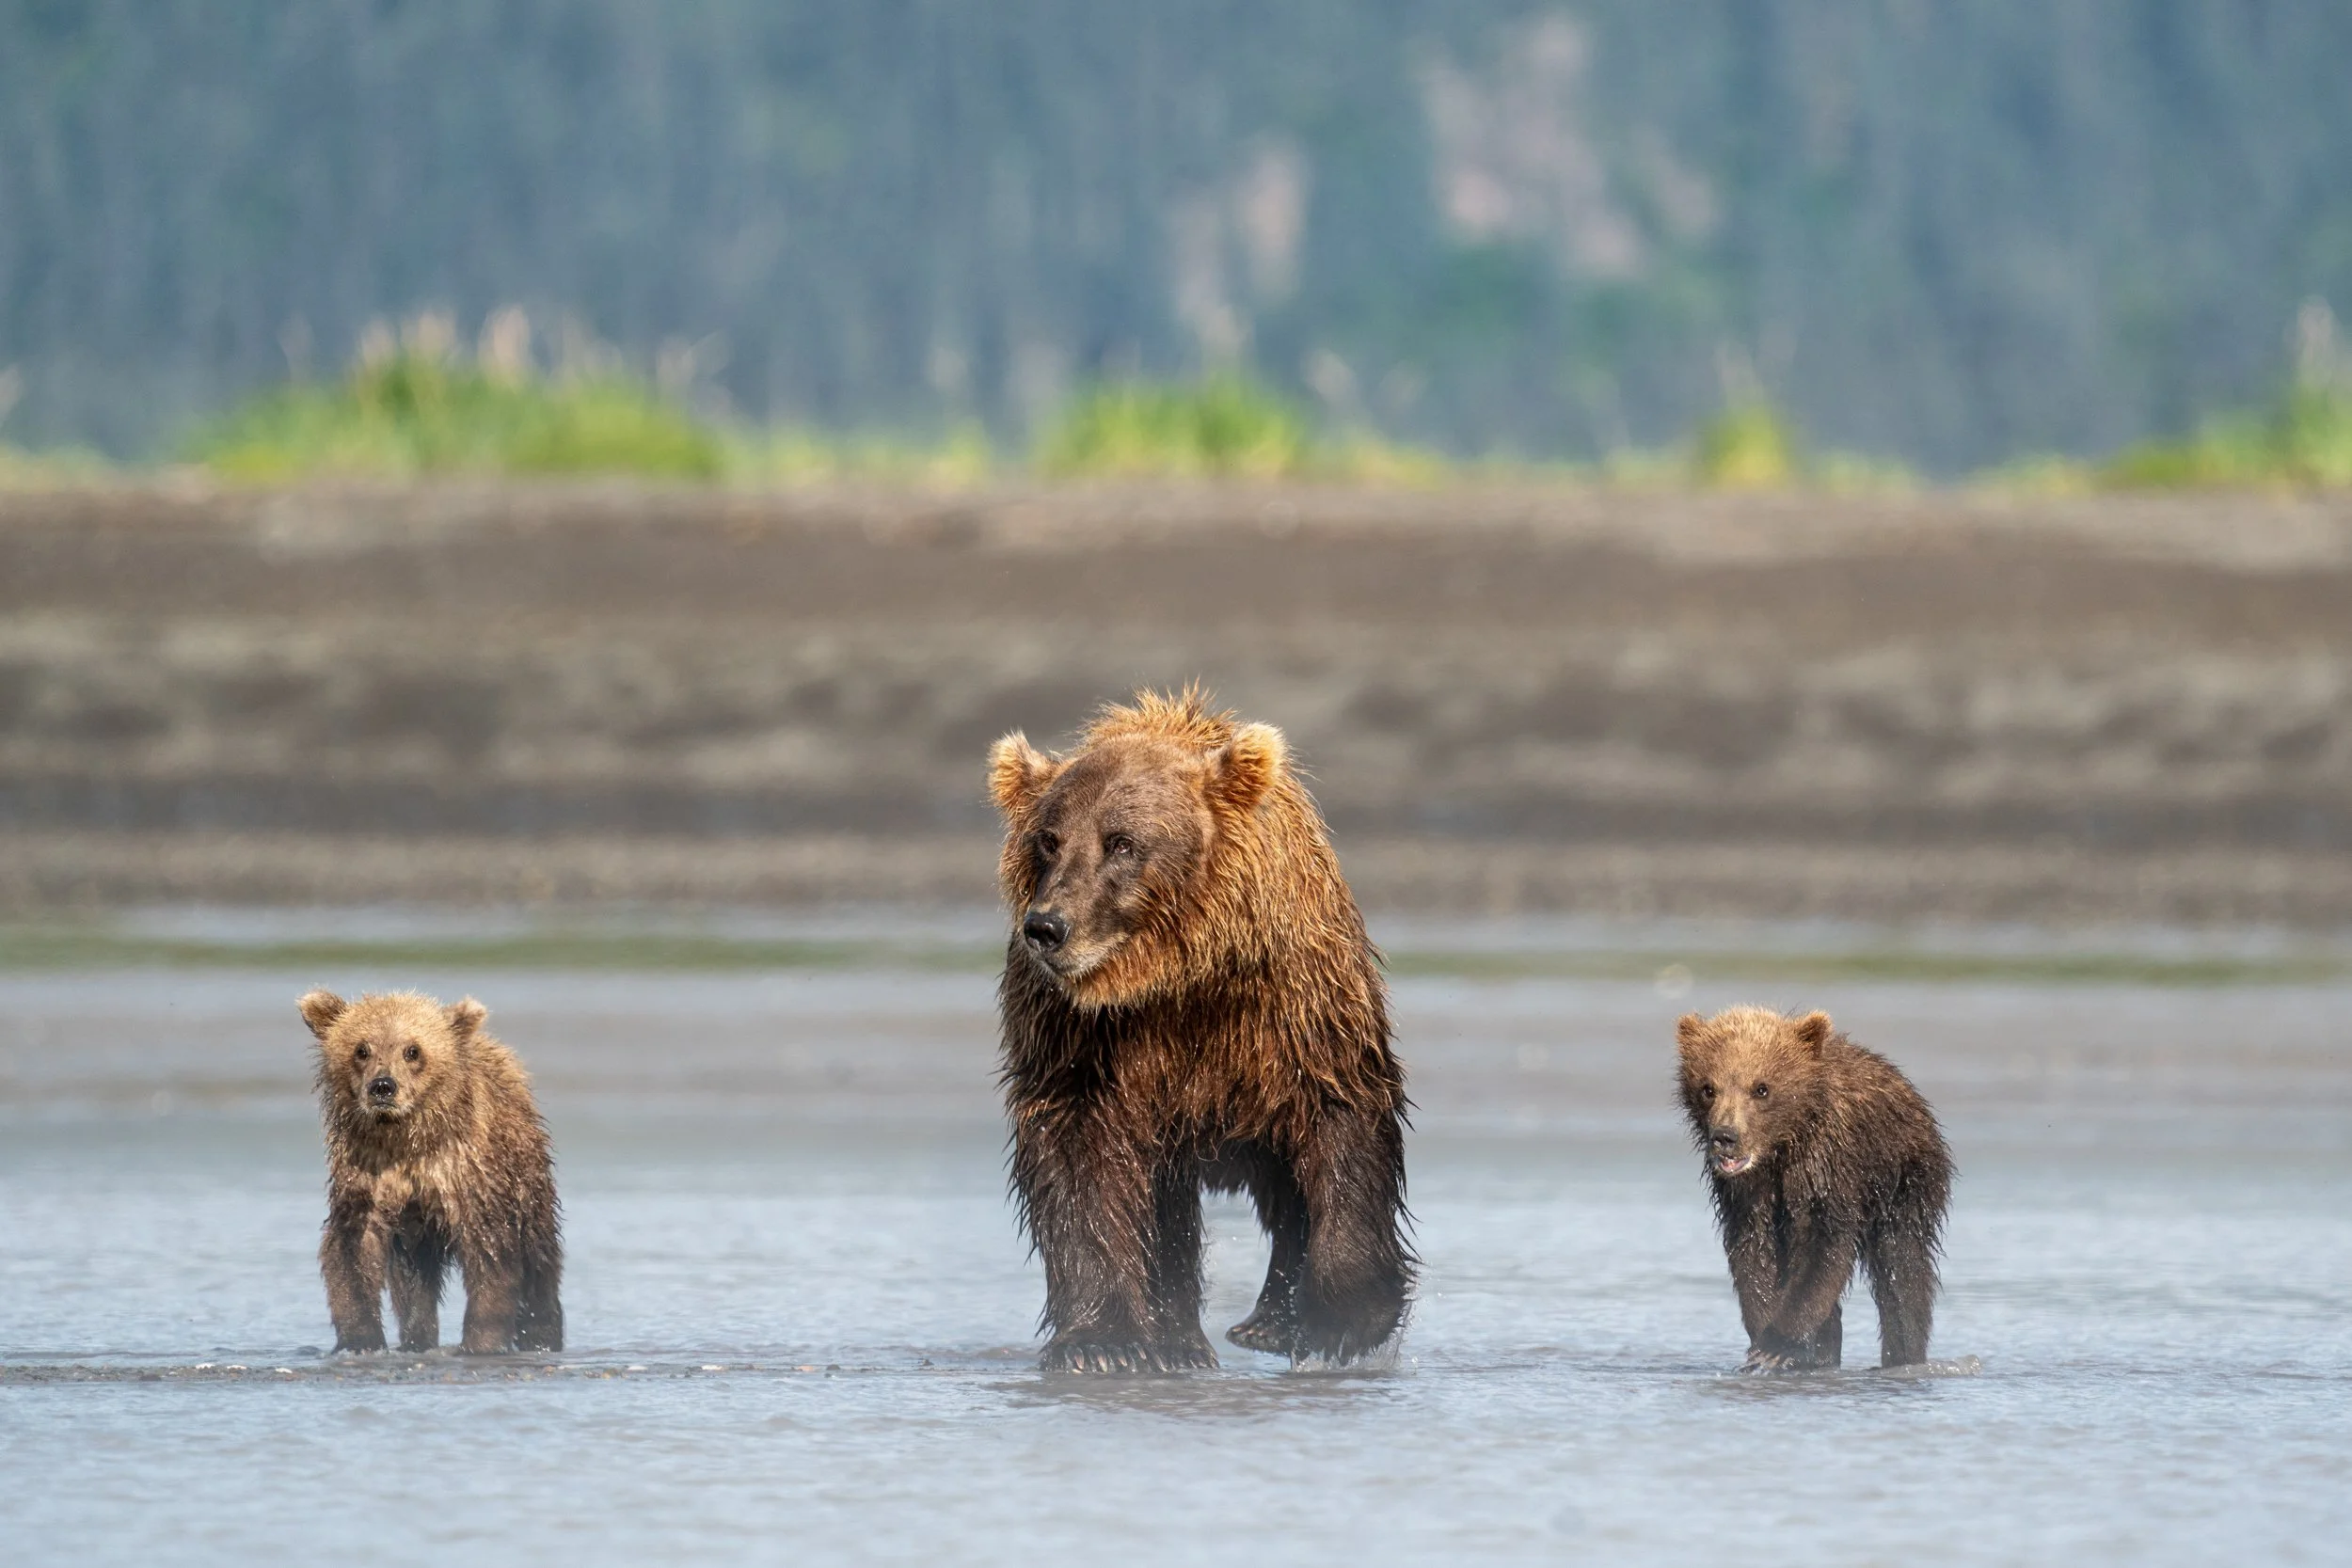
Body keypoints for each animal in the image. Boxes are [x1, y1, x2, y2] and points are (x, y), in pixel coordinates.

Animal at [299, 988, 564, 1355]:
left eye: (413, 1050)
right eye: (361, 1049)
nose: (383, 1086)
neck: (406, 1140)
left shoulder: (465, 1174)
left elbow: (491, 1254)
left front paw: (481, 1342)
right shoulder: (367, 1175)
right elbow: (353, 1251)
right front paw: (361, 1340)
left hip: (526, 1178)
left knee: (539, 1258)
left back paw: (542, 1336)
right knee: (414, 1285)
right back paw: (417, 1340)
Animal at [988, 687, 1414, 1373]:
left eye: (1122, 841)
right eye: (1047, 840)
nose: (1048, 926)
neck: (1177, 977)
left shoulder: (1289, 1008)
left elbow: (1339, 1124)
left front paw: (1344, 1320)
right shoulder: (1085, 1040)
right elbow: (1080, 1161)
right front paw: (1102, 1342)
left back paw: (1267, 1323)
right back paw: (1181, 1341)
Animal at [1676, 1005, 1951, 1372]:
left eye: (1761, 1088)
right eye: (1708, 1088)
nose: (1725, 1137)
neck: (1782, 1146)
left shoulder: (1826, 1167)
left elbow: (1822, 1249)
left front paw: (1776, 1344)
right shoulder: (1746, 1193)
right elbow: (1754, 1252)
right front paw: (1770, 1341)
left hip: (1903, 1179)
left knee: (1901, 1268)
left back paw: (1904, 1354)